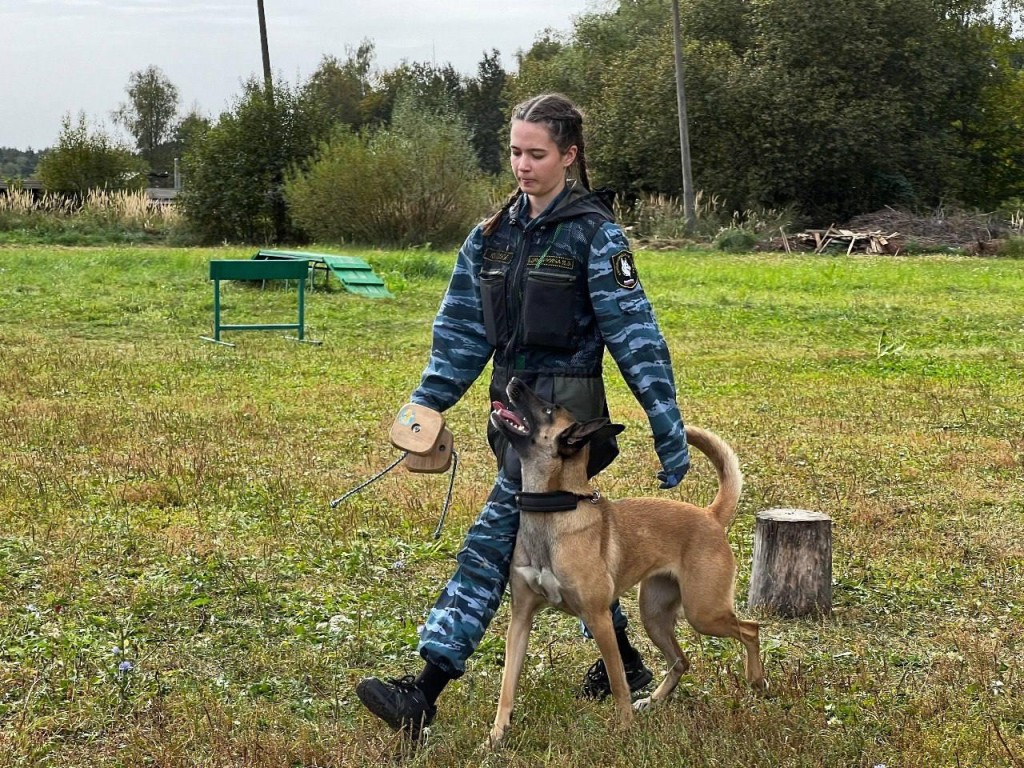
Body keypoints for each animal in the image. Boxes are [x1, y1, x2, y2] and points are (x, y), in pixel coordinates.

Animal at [485, 382, 761, 749]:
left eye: (549, 409)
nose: (515, 381)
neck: (552, 510)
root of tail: (709, 515)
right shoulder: (521, 619)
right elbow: (507, 685)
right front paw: (497, 734)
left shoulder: (599, 619)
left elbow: (619, 684)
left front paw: (625, 730)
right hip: (655, 616)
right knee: (681, 660)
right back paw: (655, 700)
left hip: (704, 612)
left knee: (750, 629)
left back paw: (757, 681)